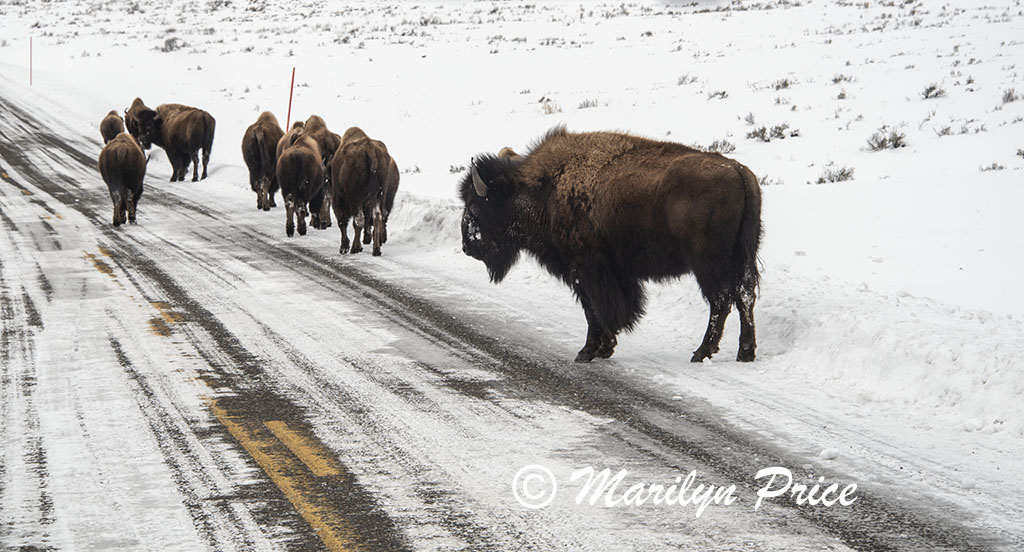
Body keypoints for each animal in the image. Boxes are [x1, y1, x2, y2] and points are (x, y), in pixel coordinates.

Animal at [329, 127, 399, 256]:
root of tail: (369, 147)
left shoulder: (338, 198)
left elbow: (342, 222)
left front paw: (344, 247)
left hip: (355, 199)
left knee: (359, 220)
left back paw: (354, 248)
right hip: (378, 197)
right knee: (377, 217)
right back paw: (376, 249)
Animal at [460, 128, 762, 363]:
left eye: (475, 206)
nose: (466, 246)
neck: (544, 191)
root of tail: (739, 172)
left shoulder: (584, 270)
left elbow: (593, 308)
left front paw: (588, 351)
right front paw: (605, 348)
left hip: (707, 261)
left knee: (721, 299)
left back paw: (702, 352)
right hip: (743, 254)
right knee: (744, 296)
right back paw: (745, 352)